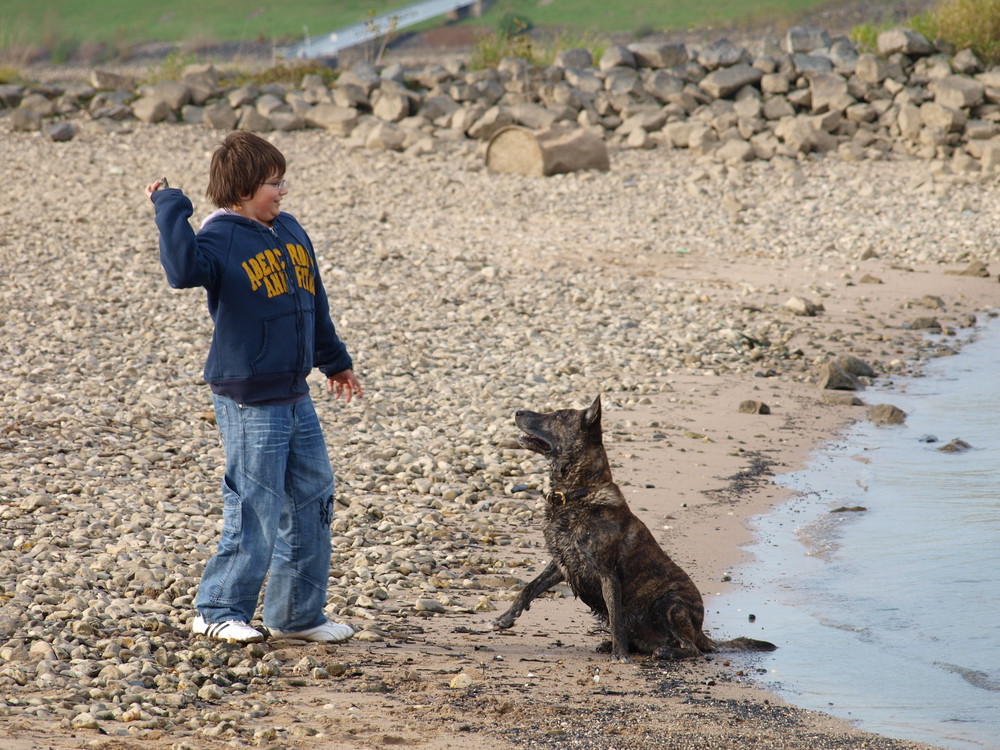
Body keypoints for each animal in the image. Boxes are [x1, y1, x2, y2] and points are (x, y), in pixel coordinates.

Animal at [496, 396, 776, 660]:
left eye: (557, 415)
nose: (517, 412)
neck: (578, 492)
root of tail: (701, 632)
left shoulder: (607, 573)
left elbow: (616, 618)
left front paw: (620, 655)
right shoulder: (563, 562)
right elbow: (530, 587)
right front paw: (506, 617)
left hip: (669, 603)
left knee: (692, 648)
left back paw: (664, 651)